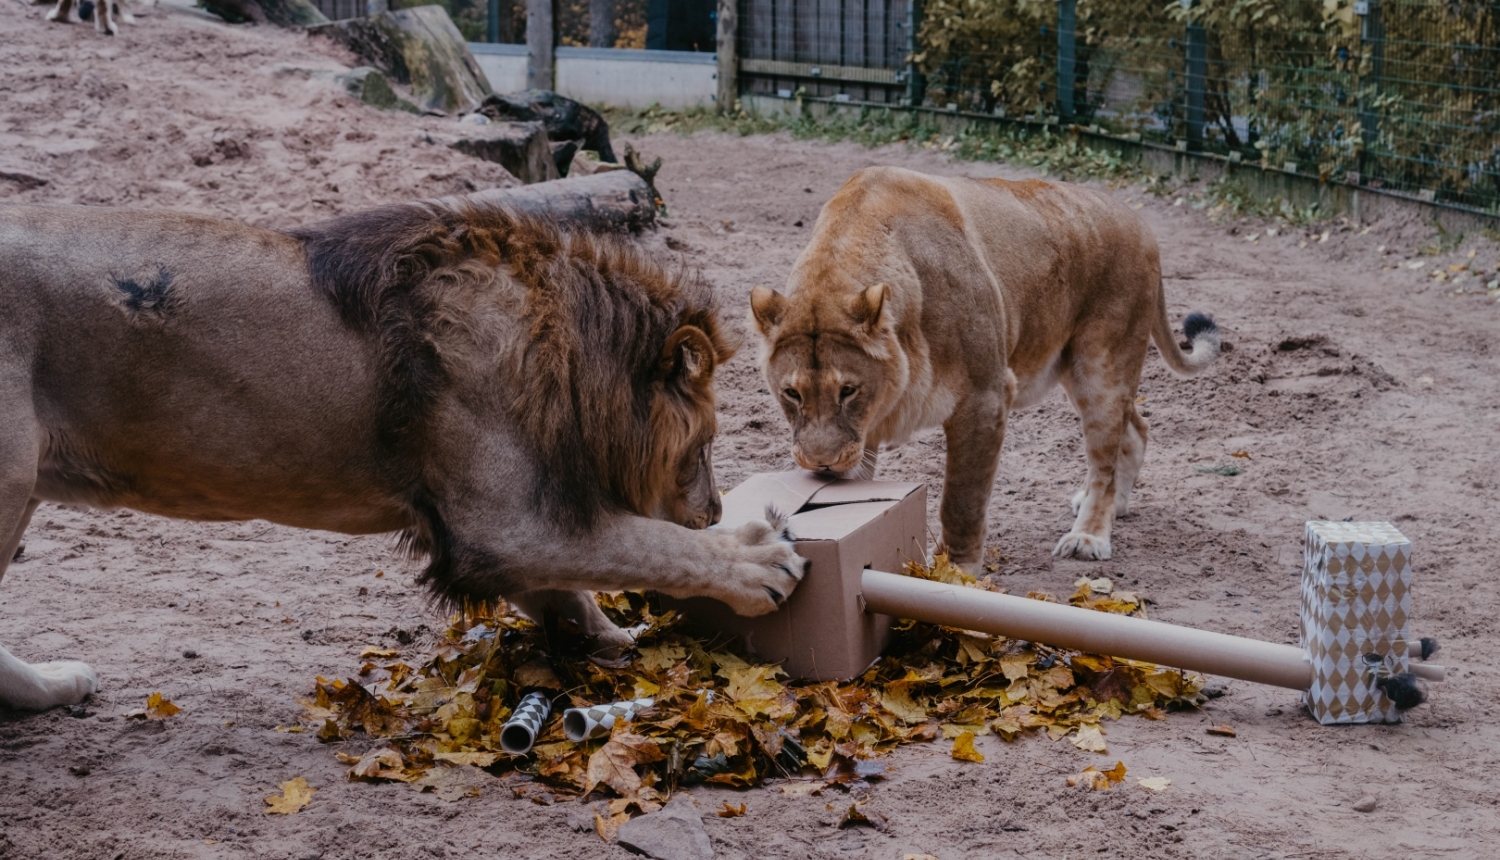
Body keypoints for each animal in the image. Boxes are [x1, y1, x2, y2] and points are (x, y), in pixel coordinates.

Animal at [0, 201, 810, 711]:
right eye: (705, 445)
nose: (713, 506)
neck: (564, 350)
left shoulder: (498, 530)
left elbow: (571, 590)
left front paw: (616, 639)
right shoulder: (501, 525)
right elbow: (648, 547)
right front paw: (756, 561)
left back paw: (52, 688)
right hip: (8, 480)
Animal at [750, 167, 1218, 570]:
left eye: (848, 391)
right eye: (791, 393)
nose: (821, 464)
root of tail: (1140, 223)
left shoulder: (985, 397)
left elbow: (961, 499)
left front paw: (955, 572)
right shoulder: (862, 436)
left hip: (1102, 365)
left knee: (1106, 451)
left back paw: (1088, 534)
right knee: (1135, 427)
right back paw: (1112, 504)